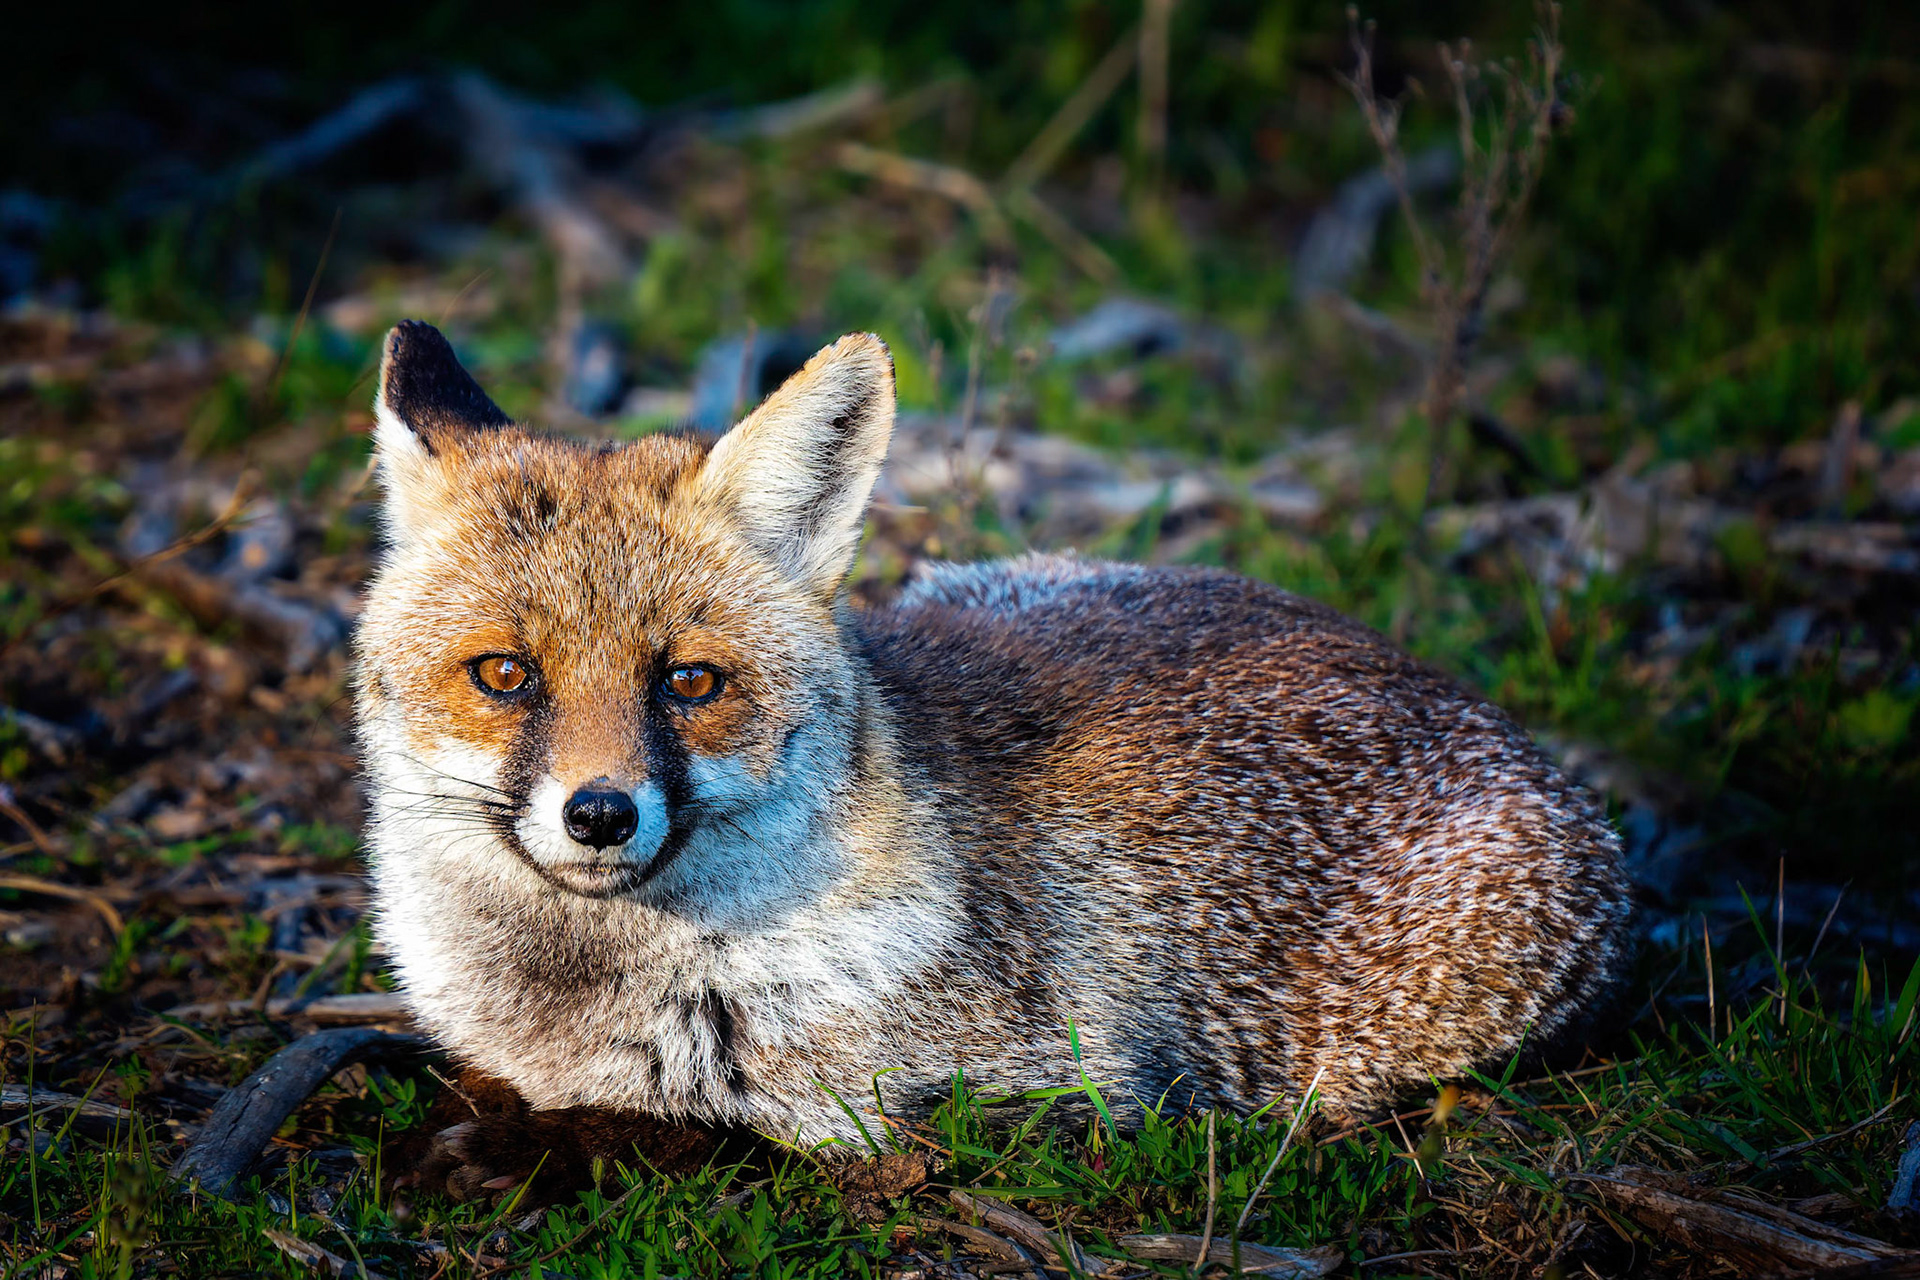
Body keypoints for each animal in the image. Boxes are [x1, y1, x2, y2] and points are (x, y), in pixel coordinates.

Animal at [355, 320, 1632, 1196]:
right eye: (505, 673)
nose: (601, 812)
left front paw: (524, 1145)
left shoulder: (1029, 1105)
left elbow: (723, 1136)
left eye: (690, 682)